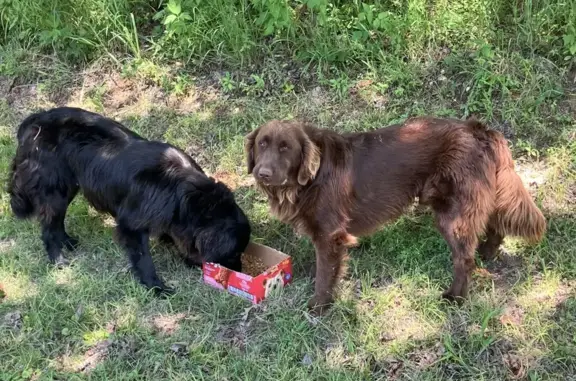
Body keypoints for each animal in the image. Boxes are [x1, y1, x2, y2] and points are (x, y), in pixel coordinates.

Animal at [6, 107, 250, 294]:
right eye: (234, 254)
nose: (240, 271)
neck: (182, 192)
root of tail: (35, 120)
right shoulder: (131, 226)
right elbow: (144, 259)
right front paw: (156, 287)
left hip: (68, 188)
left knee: (56, 223)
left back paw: (67, 241)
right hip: (55, 192)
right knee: (48, 229)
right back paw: (59, 261)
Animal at [243, 117, 544, 314]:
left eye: (286, 148)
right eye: (262, 144)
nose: (263, 173)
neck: (311, 177)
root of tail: (478, 129)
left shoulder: (329, 236)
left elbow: (324, 274)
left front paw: (319, 306)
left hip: (453, 213)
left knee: (464, 258)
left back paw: (455, 297)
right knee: (494, 225)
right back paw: (487, 253)